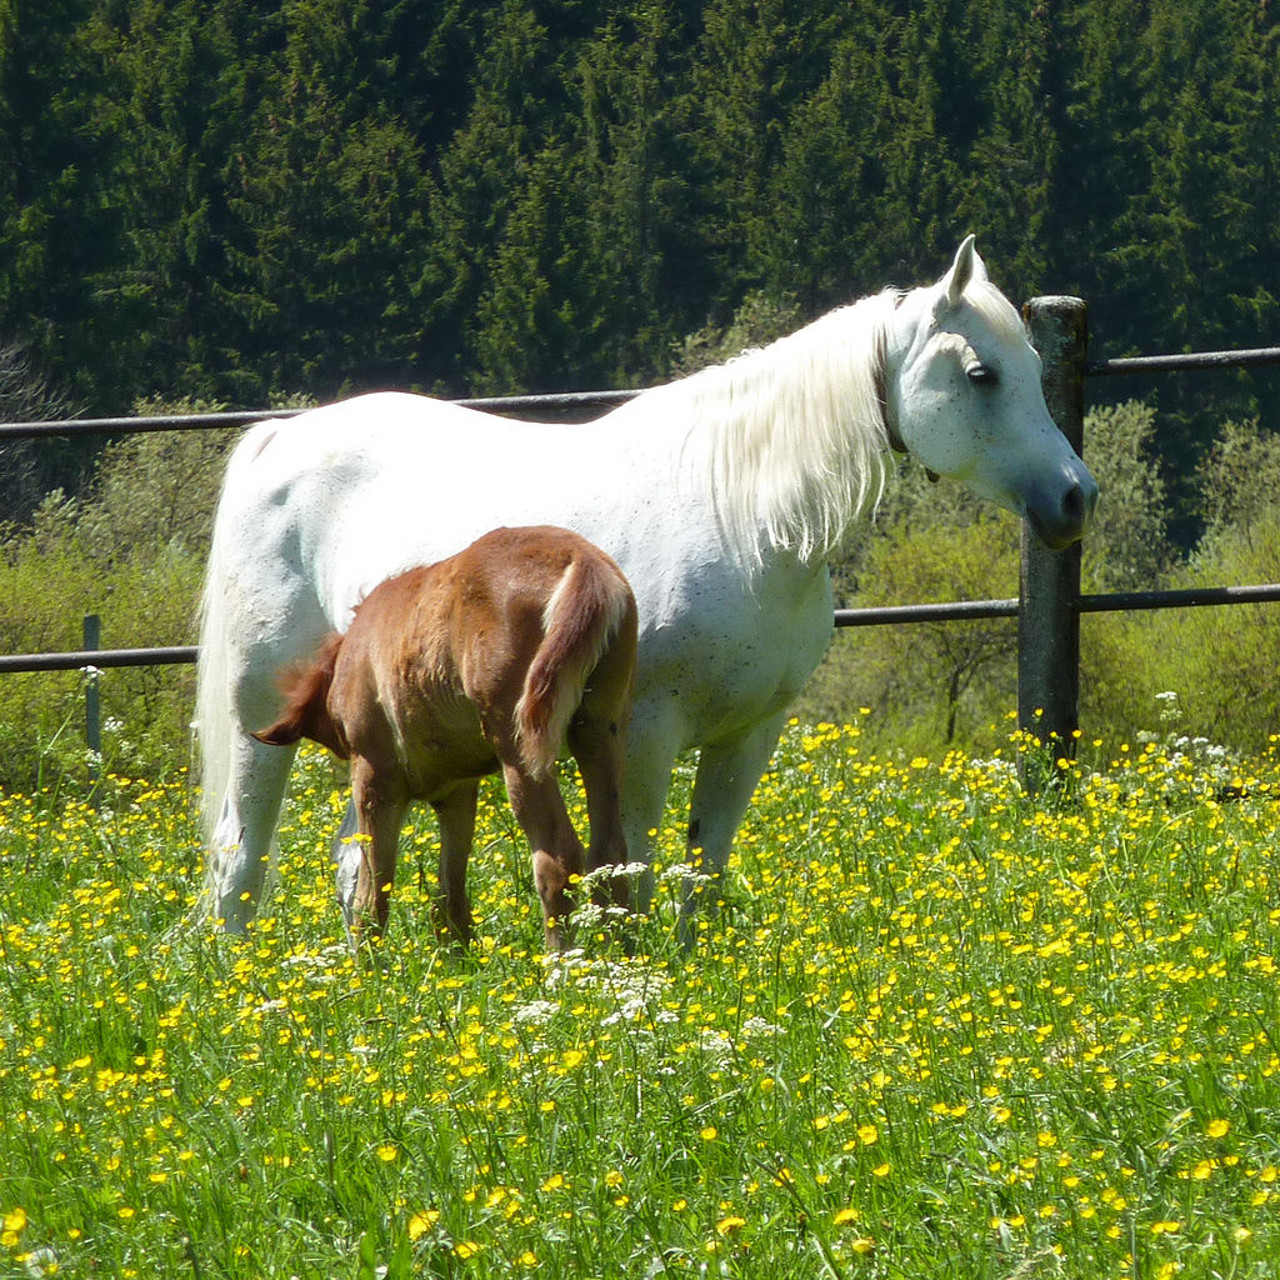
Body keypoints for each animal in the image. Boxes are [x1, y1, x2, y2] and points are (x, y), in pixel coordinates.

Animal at [248, 526, 637, 949]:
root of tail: (584, 562)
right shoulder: (457, 791)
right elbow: (450, 896)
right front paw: (460, 959)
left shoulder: (376, 781)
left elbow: (373, 892)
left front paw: (369, 960)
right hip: (599, 730)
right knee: (611, 853)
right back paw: (620, 954)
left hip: (520, 747)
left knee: (558, 859)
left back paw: (560, 961)